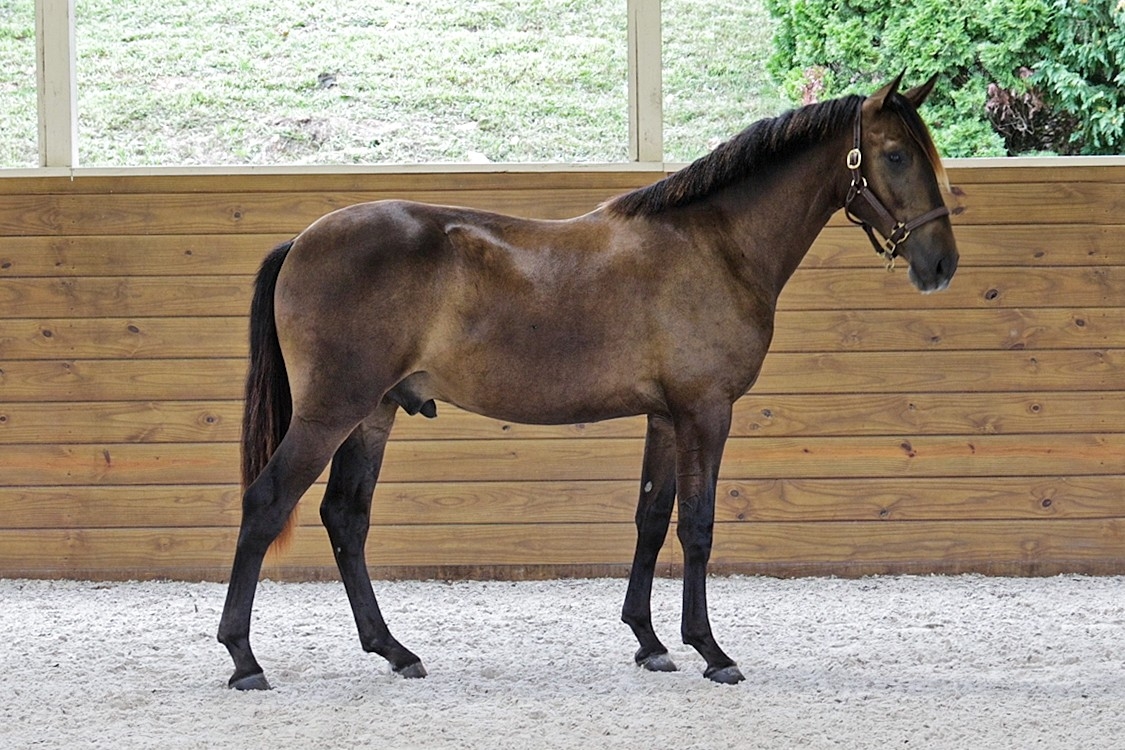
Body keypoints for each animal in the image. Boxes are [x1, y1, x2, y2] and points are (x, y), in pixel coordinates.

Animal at [217, 73, 958, 690]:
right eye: (896, 155)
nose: (940, 264)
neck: (713, 245)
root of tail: (301, 242)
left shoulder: (665, 416)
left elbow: (651, 519)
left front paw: (649, 642)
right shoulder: (705, 411)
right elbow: (696, 525)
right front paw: (710, 651)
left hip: (372, 414)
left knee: (346, 517)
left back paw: (394, 651)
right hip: (330, 413)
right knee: (267, 503)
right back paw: (245, 659)